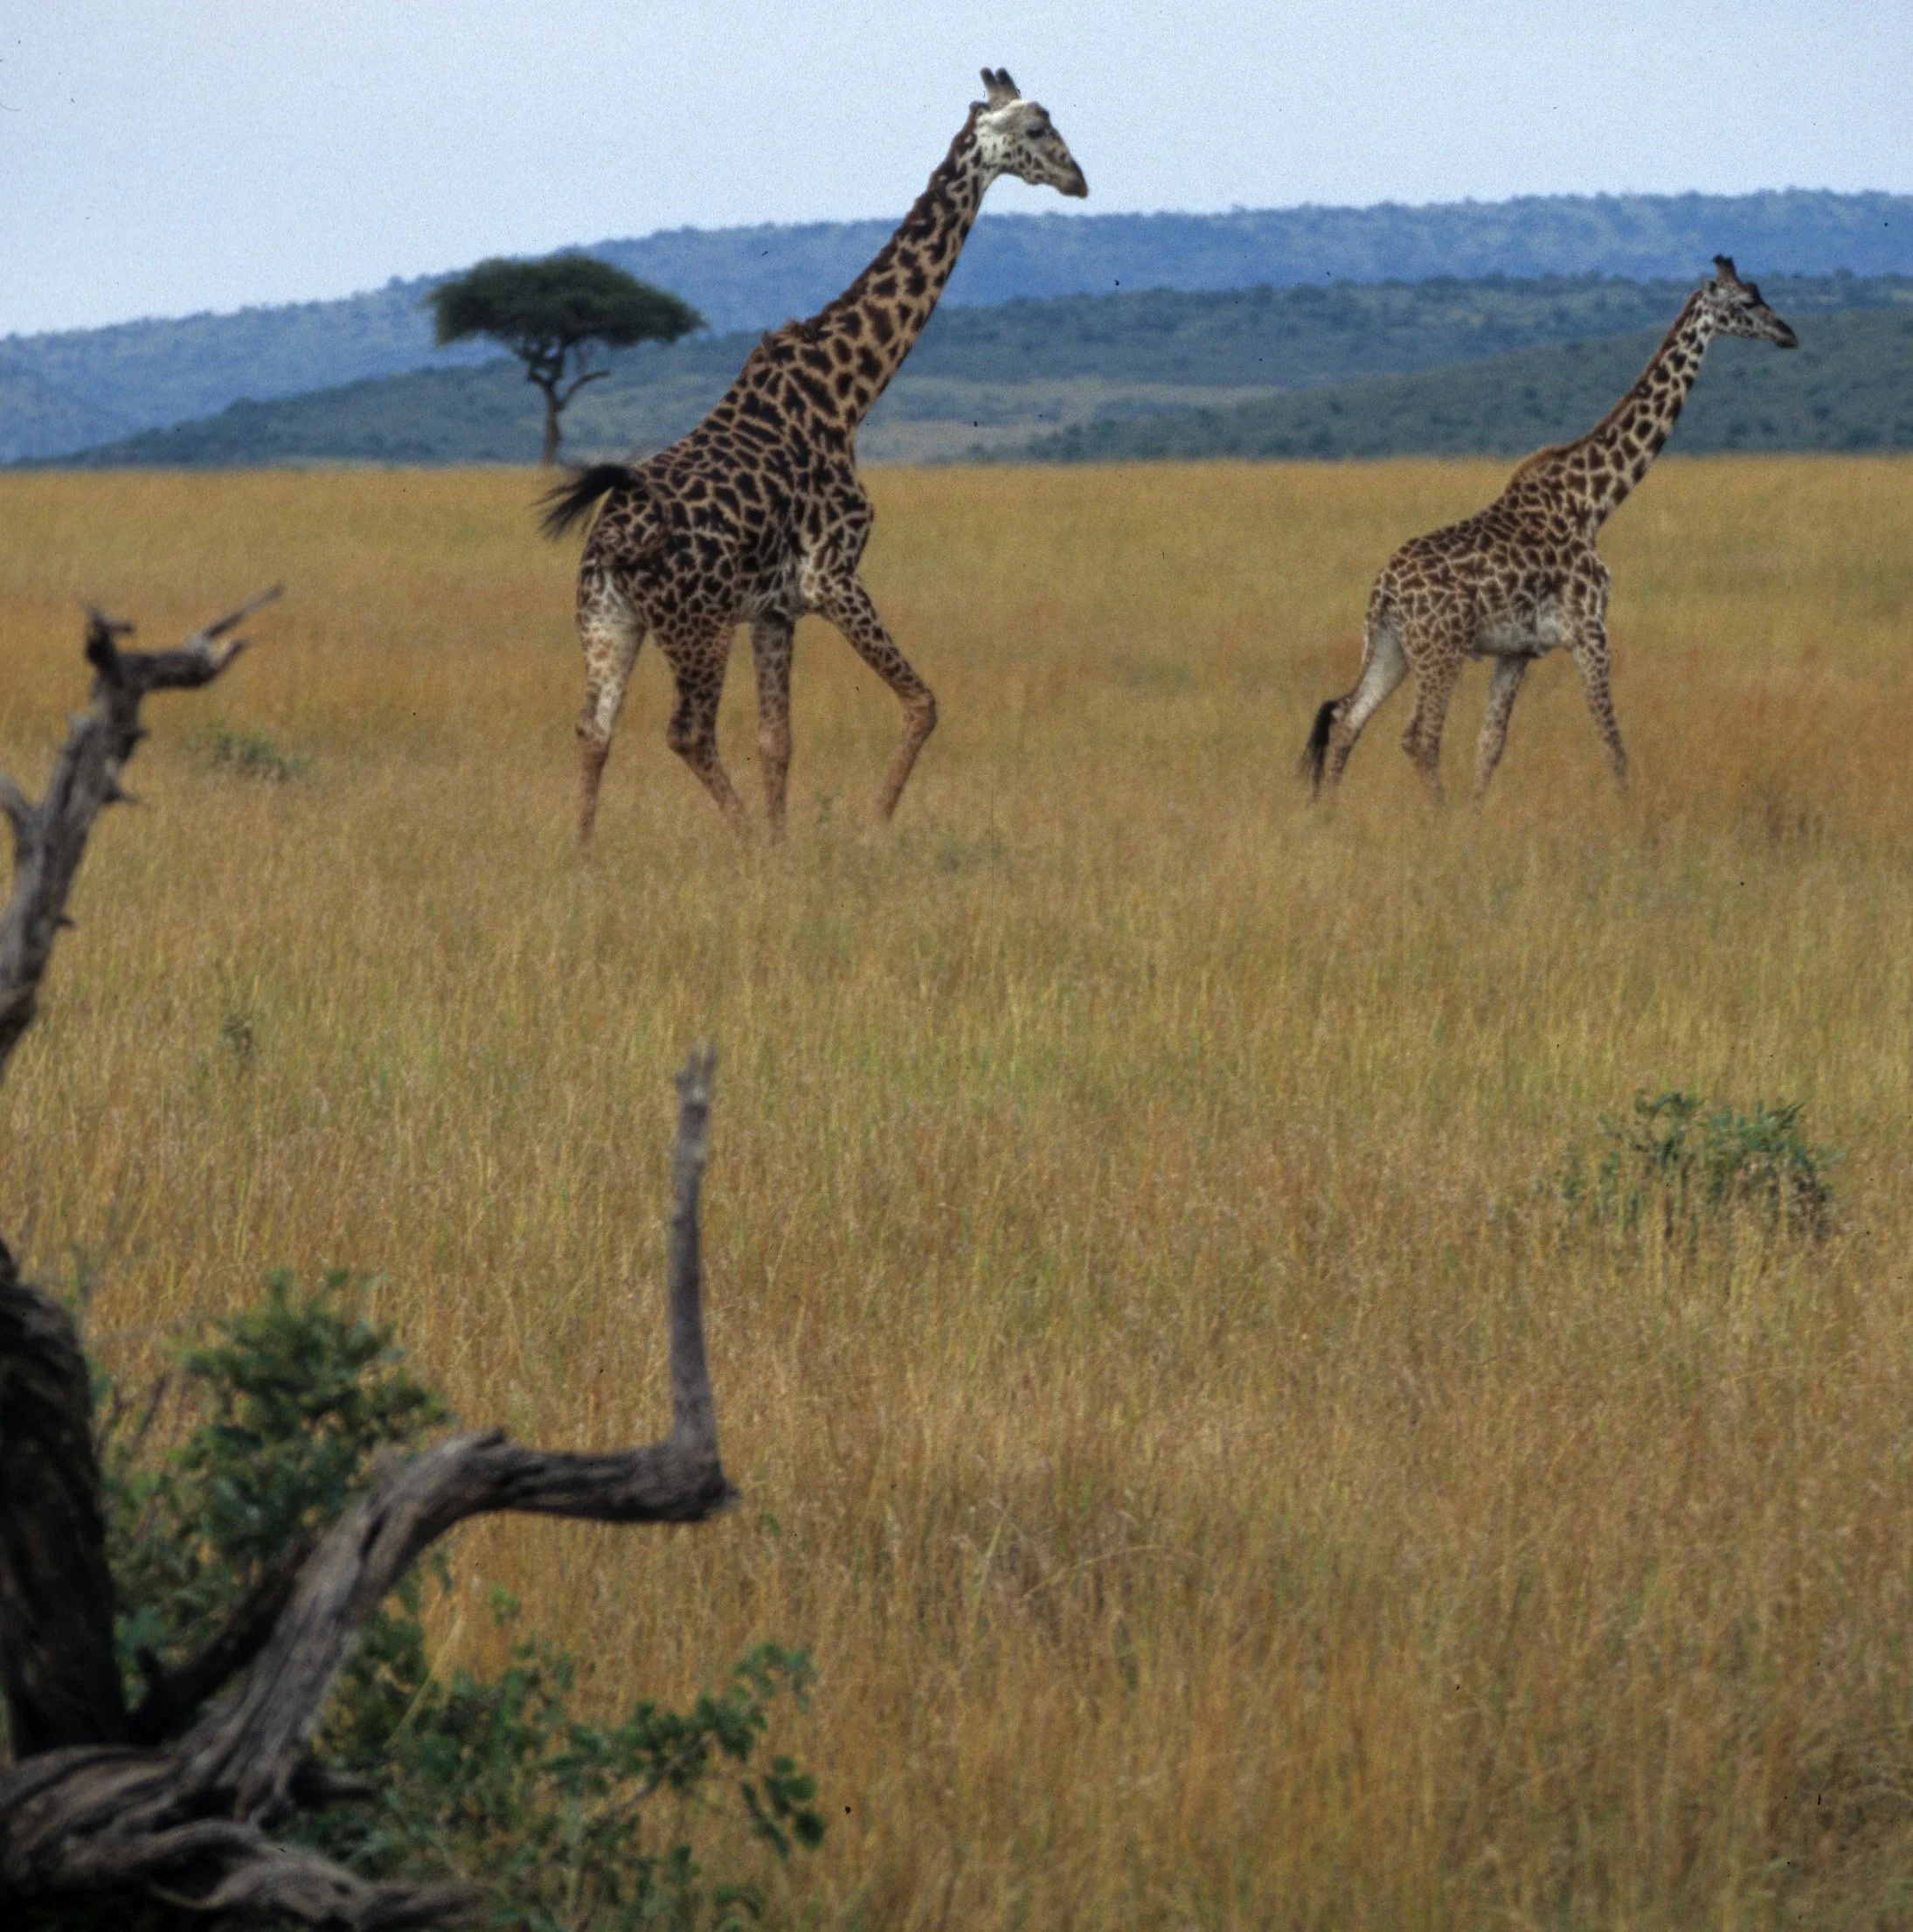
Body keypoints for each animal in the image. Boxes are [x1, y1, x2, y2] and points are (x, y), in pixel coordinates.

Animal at [543, 68, 1088, 848]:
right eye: (1039, 128)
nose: (1079, 180)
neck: (845, 394)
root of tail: (614, 539)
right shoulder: (833, 576)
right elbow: (922, 702)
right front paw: (870, 824)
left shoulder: (776, 608)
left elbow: (778, 740)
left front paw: (786, 845)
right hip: (696, 625)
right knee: (686, 732)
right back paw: (740, 842)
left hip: (608, 619)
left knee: (594, 729)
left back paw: (585, 854)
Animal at [1301, 258, 1798, 804]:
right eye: (1747, 302)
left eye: (1760, 292)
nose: (1789, 333)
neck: (1592, 502)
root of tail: (1383, 587)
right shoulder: (1590, 629)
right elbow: (1611, 743)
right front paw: (1633, 814)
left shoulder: (1517, 650)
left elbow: (1490, 745)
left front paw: (1478, 815)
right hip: (1440, 648)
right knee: (1418, 736)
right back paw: (1435, 815)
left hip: (1391, 645)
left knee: (1348, 718)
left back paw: (1328, 813)